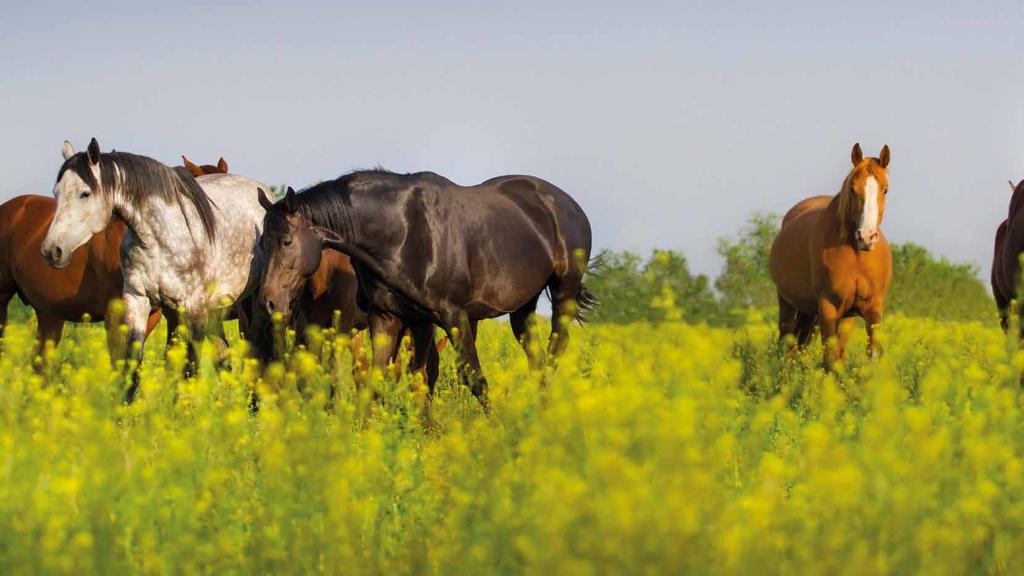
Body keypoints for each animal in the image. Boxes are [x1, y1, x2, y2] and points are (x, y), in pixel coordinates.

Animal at [42, 139, 270, 399]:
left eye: (85, 193)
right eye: (56, 192)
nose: (52, 250)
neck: (159, 238)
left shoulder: (193, 309)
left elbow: (190, 368)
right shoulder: (138, 300)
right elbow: (133, 366)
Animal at [256, 168, 598, 405]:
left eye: (286, 241)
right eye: (261, 242)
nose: (269, 301)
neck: (403, 232)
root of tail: (566, 204)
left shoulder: (453, 316)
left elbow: (472, 378)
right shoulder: (395, 319)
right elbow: (389, 381)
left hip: (564, 293)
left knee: (554, 352)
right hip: (522, 308)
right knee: (537, 361)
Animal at [770, 144, 888, 366]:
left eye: (885, 189)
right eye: (852, 188)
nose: (867, 237)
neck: (856, 255)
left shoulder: (872, 309)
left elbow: (872, 355)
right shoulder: (828, 308)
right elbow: (830, 360)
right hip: (789, 305)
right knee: (786, 346)